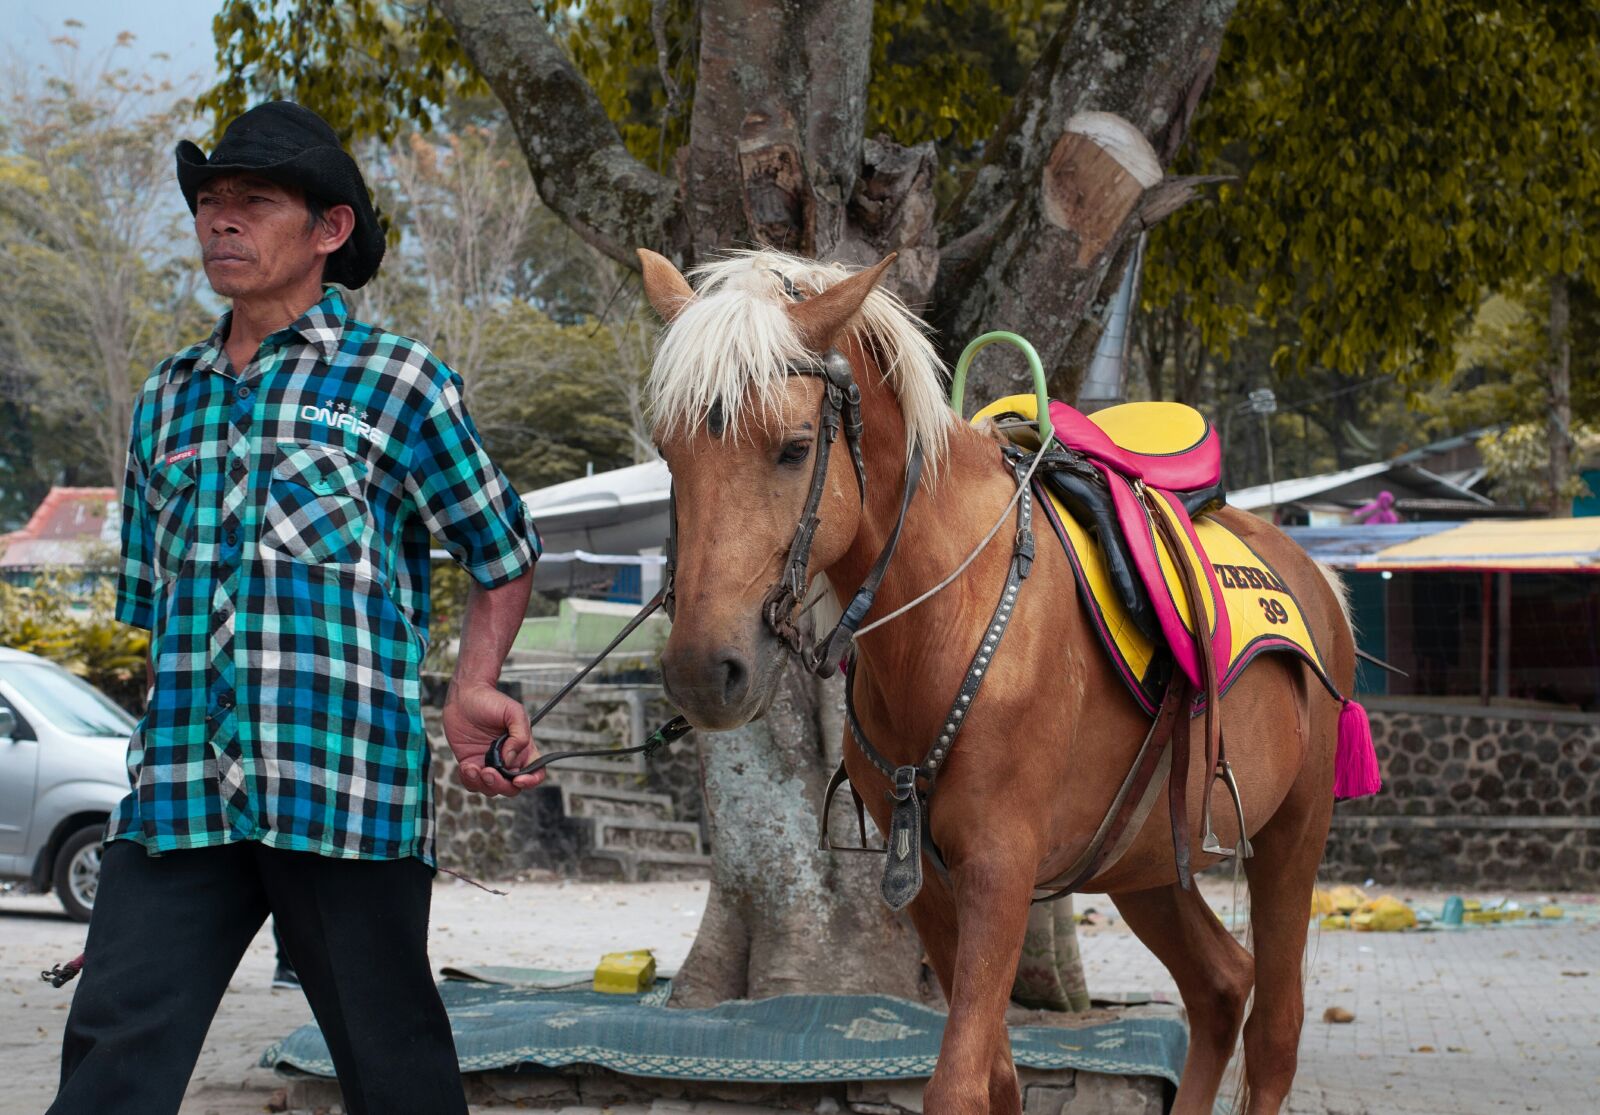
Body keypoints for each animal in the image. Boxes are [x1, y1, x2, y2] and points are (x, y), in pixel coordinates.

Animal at [637, 246, 1357, 1115]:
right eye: (669, 451)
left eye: (794, 446)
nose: (702, 670)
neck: (947, 614)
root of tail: (1316, 579)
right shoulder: (933, 889)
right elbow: (997, 1080)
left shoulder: (1000, 868)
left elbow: (956, 1083)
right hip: (1146, 854)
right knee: (1220, 985)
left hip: (1295, 831)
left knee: (1275, 1028)